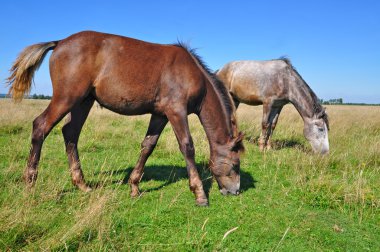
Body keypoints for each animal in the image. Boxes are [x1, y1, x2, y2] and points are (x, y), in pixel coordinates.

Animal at [6, 30, 243, 206]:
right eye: (235, 164)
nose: (235, 191)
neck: (193, 74)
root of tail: (60, 42)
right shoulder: (176, 111)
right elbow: (187, 146)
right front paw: (200, 193)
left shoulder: (160, 114)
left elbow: (148, 146)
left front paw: (134, 186)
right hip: (67, 97)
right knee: (41, 126)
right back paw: (30, 184)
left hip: (83, 101)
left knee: (70, 133)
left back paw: (81, 184)